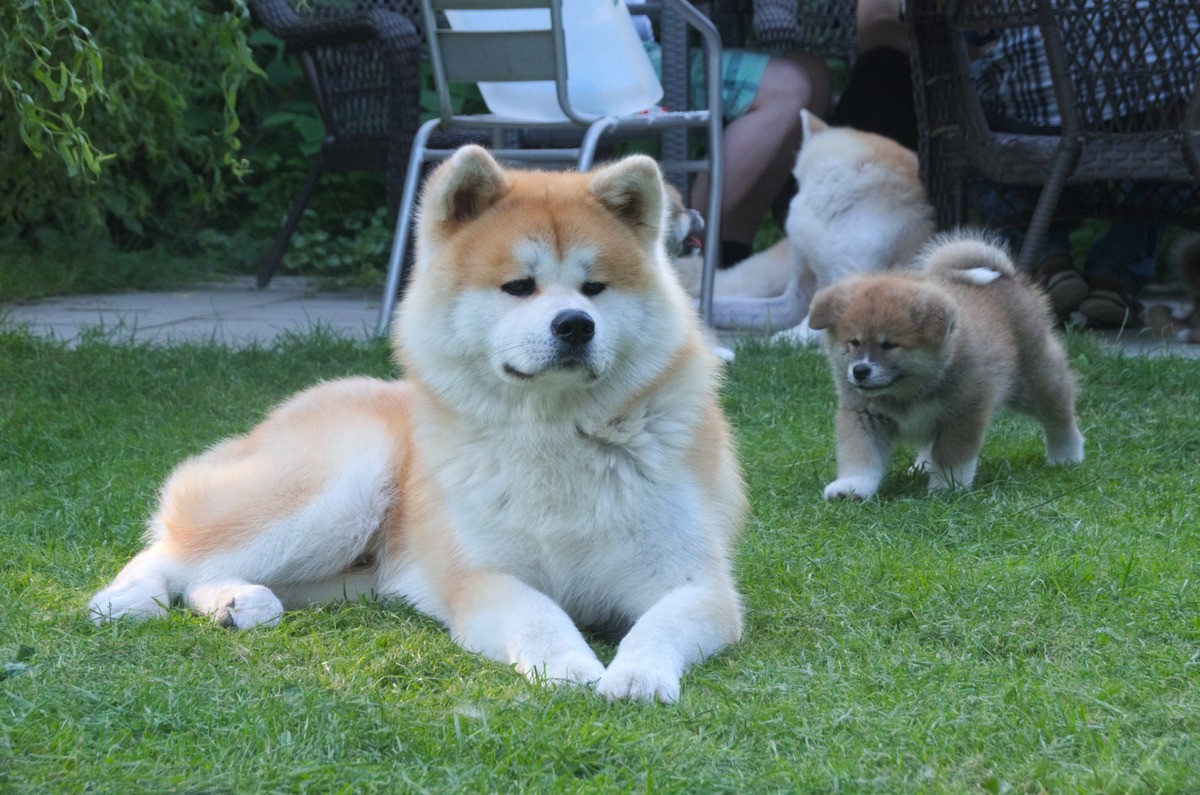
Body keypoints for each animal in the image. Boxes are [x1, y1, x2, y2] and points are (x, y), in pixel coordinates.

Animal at [88, 146, 747, 704]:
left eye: (595, 288)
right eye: (518, 286)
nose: (575, 325)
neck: (554, 435)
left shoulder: (696, 583)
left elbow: (660, 624)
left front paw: (637, 675)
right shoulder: (483, 577)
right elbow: (541, 616)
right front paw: (570, 666)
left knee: (211, 571)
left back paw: (237, 601)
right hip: (340, 489)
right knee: (173, 553)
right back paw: (127, 598)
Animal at [808, 231, 1085, 500]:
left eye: (889, 345)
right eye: (853, 342)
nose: (860, 371)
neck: (909, 391)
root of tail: (1008, 278)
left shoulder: (964, 412)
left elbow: (952, 453)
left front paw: (948, 487)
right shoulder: (863, 415)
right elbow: (861, 456)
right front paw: (851, 487)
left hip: (1036, 381)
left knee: (1060, 414)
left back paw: (1066, 455)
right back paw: (922, 466)